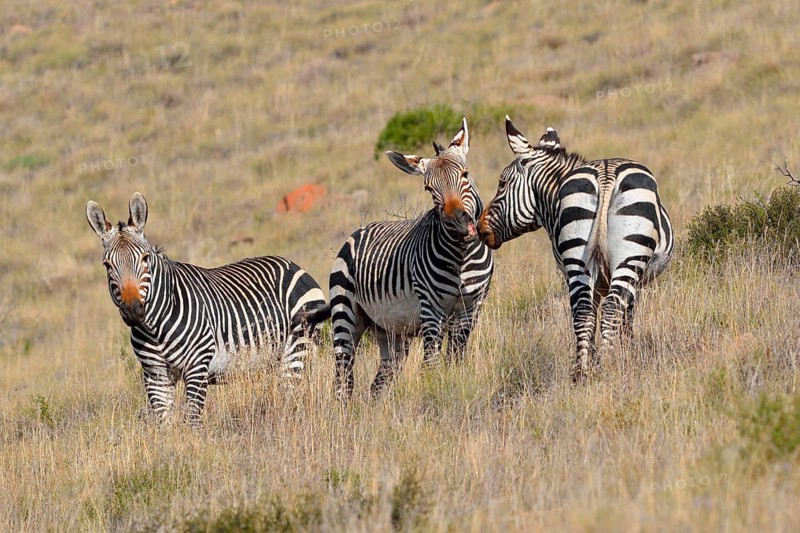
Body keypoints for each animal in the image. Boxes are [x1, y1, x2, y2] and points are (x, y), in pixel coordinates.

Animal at [86, 192, 329, 426]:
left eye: (145, 258)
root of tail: (295, 266)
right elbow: (165, 426)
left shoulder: (197, 366)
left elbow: (193, 422)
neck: (155, 328)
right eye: (107, 265)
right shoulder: (155, 375)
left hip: (296, 347)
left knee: (290, 397)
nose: (132, 310)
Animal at [330, 118, 494, 398]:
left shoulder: (470, 308)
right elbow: (431, 364)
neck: (462, 254)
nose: (460, 224)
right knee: (343, 375)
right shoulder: (431, 309)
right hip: (346, 316)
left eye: (465, 174)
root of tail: (357, 232)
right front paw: (437, 393)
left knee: (380, 381)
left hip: (390, 330)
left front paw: (458, 384)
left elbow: (456, 357)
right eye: (429, 188)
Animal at [478, 117, 673, 382]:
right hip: (628, 259)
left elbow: (599, 316)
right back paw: (608, 365)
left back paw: (581, 372)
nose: (480, 227)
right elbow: (624, 315)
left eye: (501, 183)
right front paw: (623, 353)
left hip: (578, 259)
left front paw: (599, 357)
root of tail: (605, 175)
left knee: (582, 310)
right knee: (611, 308)